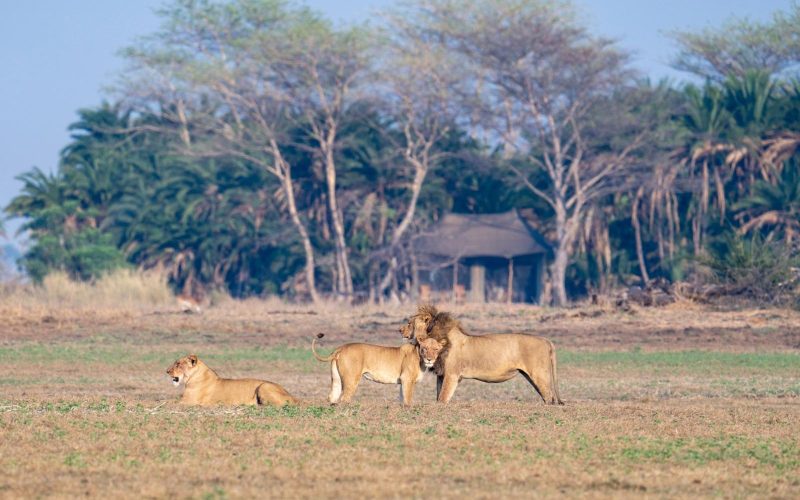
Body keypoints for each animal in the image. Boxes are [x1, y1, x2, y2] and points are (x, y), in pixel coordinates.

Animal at [166, 354, 298, 406]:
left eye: (178, 364)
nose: (167, 371)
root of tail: (293, 396)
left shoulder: (188, 401)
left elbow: (169, 401)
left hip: (263, 386)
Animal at [311, 333, 444, 406]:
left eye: (436, 349)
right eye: (425, 348)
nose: (429, 359)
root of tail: (340, 348)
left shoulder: (403, 381)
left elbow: (402, 399)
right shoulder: (407, 379)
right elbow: (408, 400)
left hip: (337, 379)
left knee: (332, 397)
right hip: (352, 379)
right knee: (344, 398)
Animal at [404, 307, 563, 405]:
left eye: (409, 323)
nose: (400, 330)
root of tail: (547, 340)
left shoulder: (452, 375)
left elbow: (443, 396)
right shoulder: (442, 374)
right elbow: (439, 394)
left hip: (539, 373)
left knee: (549, 396)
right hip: (532, 376)